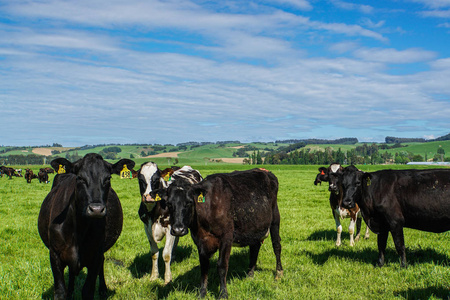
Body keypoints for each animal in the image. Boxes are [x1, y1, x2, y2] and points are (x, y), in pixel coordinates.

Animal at [37, 154, 134, 298]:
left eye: (108, 178)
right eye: (80, 178)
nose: (96, 209)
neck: (79, 230)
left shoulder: (95, 256)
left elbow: (88, 290)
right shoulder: (55, 255)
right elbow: (60, 291)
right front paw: (67, 291)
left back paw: (103, 289)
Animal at [158, 169, 284, 298]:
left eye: (189, 202)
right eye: (169, 204)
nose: (178, 229)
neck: (208, 208)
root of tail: (265, 172)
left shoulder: (226, 237)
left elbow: (222, 266)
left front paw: (223, 293)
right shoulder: (200, 240)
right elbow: (204, 267)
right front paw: (202, 292)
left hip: (275, 218)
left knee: (276, 245)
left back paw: (279, 273)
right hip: (254, 226)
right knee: (255, 248)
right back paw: (250, 274)